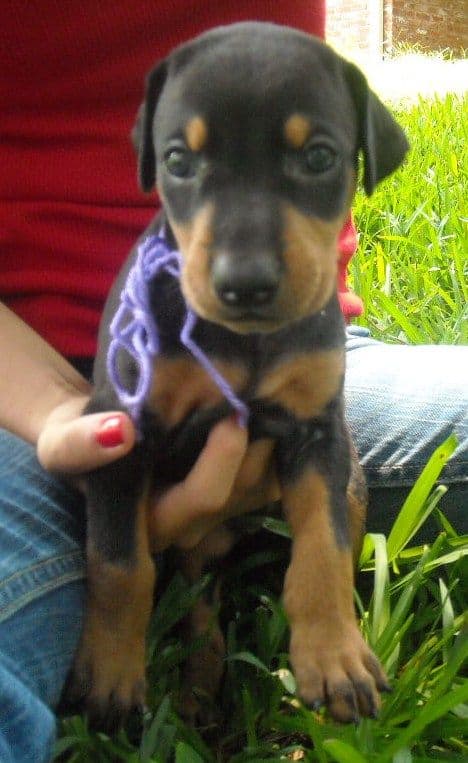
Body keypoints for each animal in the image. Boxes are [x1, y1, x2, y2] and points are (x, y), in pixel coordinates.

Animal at [66, 22, 410, 728]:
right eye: (177, 160)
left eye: (318, 157)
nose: (245, 285)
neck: (245, 344)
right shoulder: (119, 428)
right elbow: (118, 561)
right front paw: (110, 676)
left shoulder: (316, 434)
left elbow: (323, 549)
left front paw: (334, 659)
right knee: (199, 611)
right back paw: (197, 697)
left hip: (352, 480)